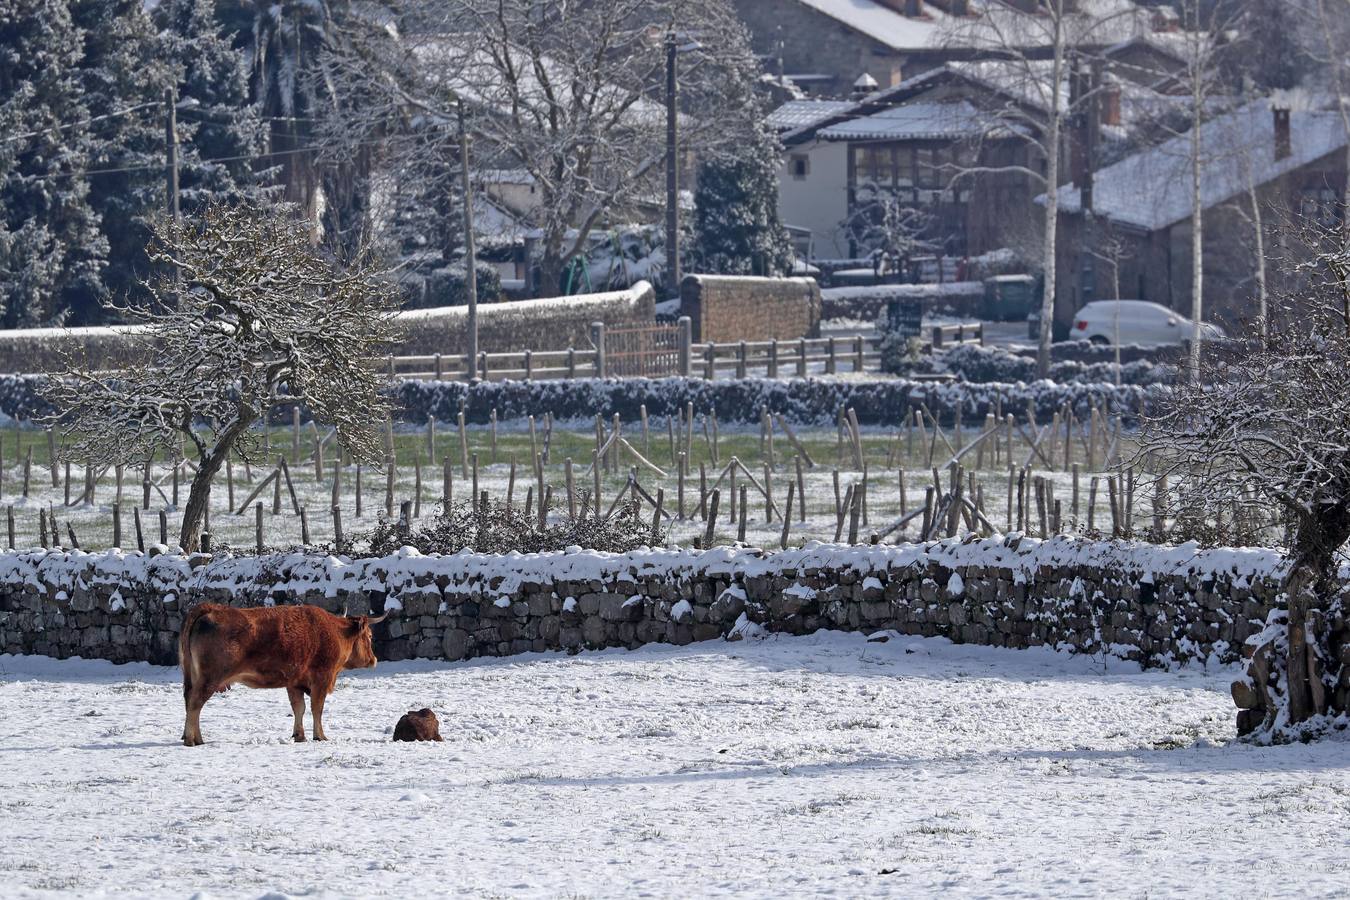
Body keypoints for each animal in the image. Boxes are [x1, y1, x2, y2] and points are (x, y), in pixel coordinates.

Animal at [178, 604, 386, 744]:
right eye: (369, 636)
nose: (374, 660)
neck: (335, 632)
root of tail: (211, 608)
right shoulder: (321, 679)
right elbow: (316, 709)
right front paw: (320, 735)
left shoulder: (294, 683)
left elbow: (299, 708)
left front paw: (299, 735)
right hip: (209, 680)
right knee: (195, 704)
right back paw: (191, 739)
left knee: (190, 703)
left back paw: (197, 738)